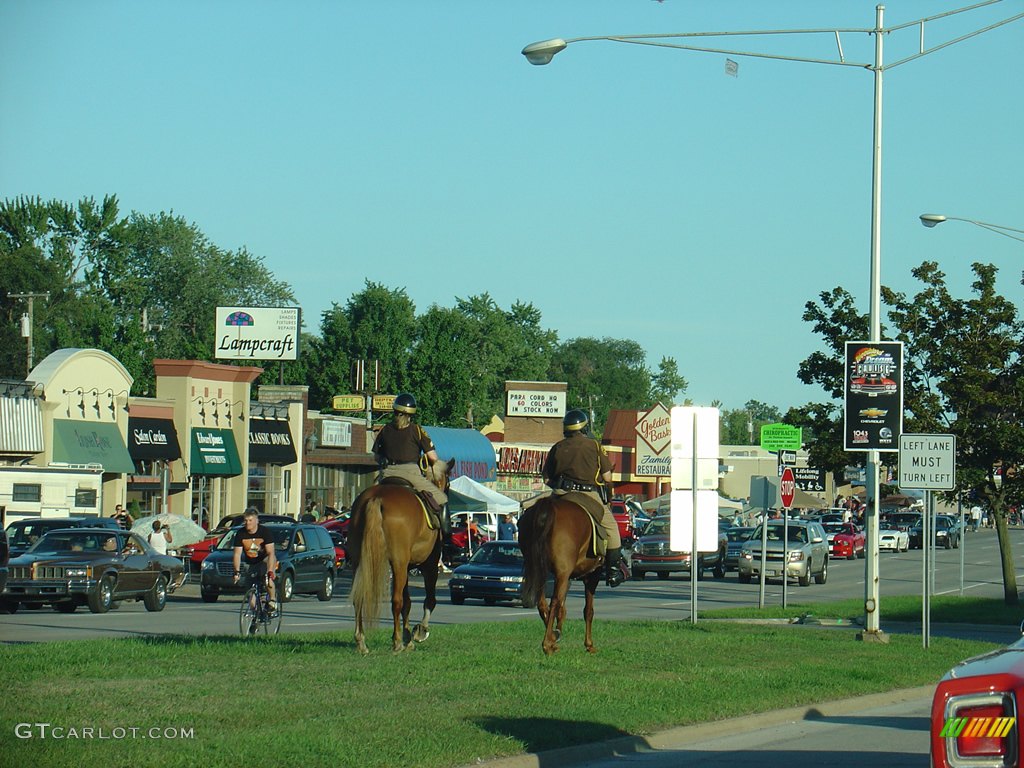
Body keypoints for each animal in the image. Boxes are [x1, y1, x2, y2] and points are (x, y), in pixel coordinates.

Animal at [350, 460, 450, 659]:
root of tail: (377, 498)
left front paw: (408, 638)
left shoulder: (407, 567)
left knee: (360, 597)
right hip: (398, 563)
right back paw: (396, 642)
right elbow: (429, 600)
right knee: (396, 601)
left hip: (362, 563)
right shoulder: (429, 565)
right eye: (449, 483)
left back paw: (361, 641)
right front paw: (418, 632)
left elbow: (408, 602)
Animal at [520, 499, 598, 655]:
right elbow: (588, 610)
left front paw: (556, 634)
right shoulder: (591, 576)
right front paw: (589, 644)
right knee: (554, 602)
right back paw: (547, 644)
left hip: (540, 570)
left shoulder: (566, 578)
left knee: (543, 604)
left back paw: (551, 640)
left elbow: (563, 609)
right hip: (562, 573)